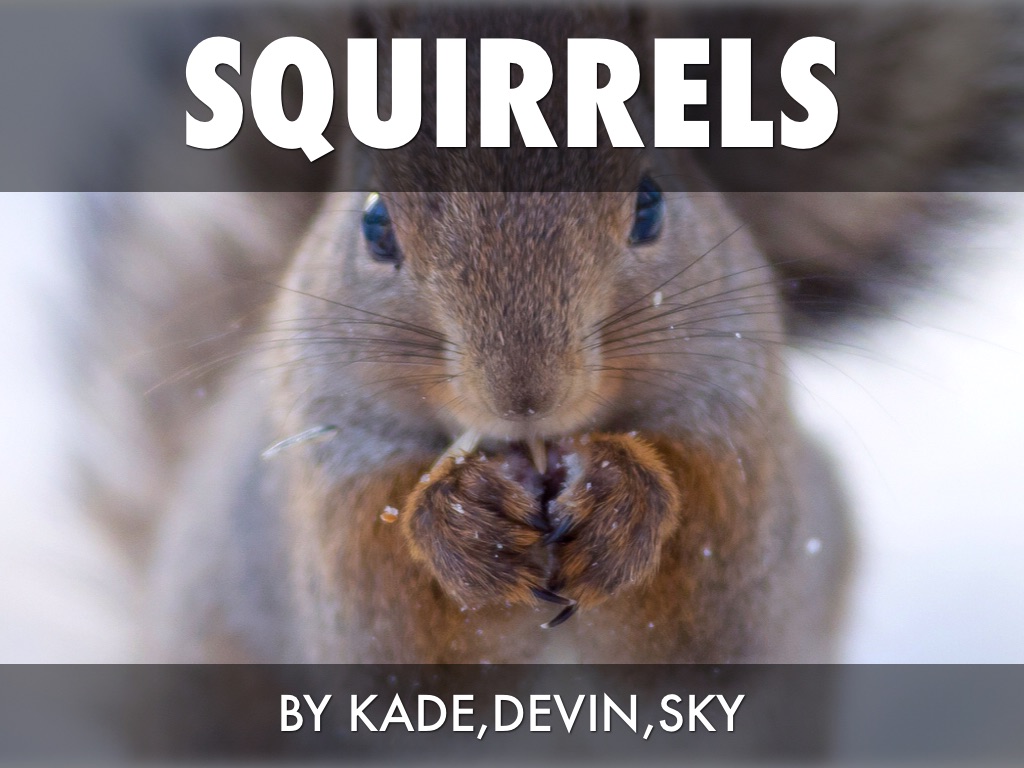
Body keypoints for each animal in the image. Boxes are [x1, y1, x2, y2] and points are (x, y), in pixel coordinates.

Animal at [72, 5, 1020, 663]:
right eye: (375, 225)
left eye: (650, 203)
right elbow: (383, 605)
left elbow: (714, 552)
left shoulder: (743, 425)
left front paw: (620, 498)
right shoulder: (322, 480)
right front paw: (466, 520)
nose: (525, 394)